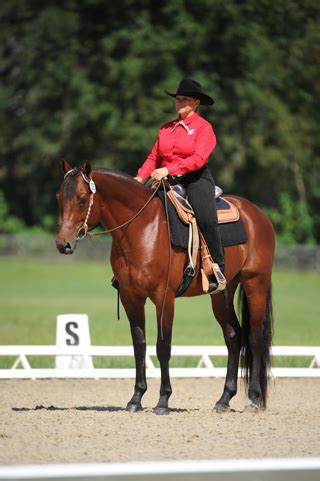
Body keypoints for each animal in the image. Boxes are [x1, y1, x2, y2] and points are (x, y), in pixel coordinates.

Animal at [55, 159, 276, 414]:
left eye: (82, 198)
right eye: (59, 196)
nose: (63, 244)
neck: (142, 228)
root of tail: (259, 215)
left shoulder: (164, 298)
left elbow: (163, 347)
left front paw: (163, 400)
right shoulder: (131, 297)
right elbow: (139, 345)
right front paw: (136, 398)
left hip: (255, 284)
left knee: (254, 337)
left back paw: (252, 399)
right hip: (222, 293)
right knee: (233, 336)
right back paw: (223, 399)